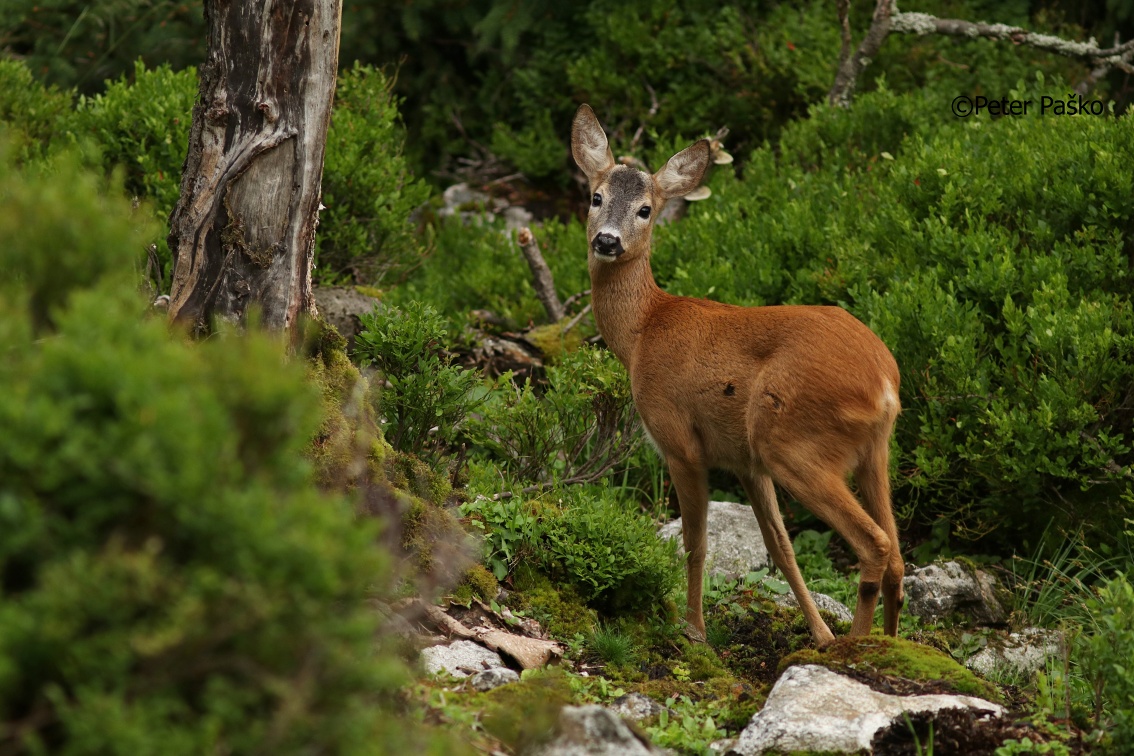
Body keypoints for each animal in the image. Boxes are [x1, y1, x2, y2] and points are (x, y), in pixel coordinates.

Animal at [570, 104, 904, 645]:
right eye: (596, 197)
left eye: (646, 209)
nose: (607, 240)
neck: (643, 330)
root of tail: (885, 383)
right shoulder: (746, 463)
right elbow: (780, 548)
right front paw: (819, 634)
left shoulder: (679, 440)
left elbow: (696, 543)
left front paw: (694, 630)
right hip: (871, 452)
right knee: (896, 554)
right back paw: (884, 643)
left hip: (793, 442)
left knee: (875, 544)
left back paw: (856, 646)